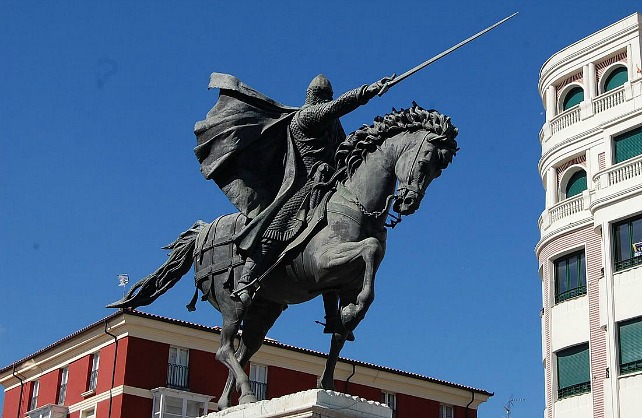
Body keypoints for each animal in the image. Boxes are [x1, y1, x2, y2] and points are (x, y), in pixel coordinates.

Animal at [109, 103, 456, 410]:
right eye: (426, 158)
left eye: (440, 170)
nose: (408, 202)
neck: (356, 202)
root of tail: (203, 234)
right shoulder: (324, 264)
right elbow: (370, 248)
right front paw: (352, 313)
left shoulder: (345, 284)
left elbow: (342, 330)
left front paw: (330, 372)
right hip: (232, 304)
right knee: (224, 350)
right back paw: (248, 395)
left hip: (264, 311)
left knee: (242, 351)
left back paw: (227, 404)